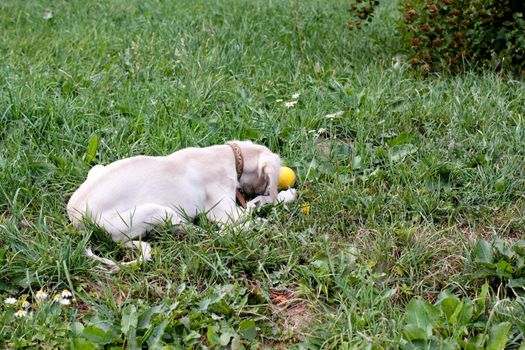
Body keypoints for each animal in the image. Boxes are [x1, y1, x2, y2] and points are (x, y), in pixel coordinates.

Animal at [66, 140, 294, 270]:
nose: (266, 188)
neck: (225, 155)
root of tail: (77, 220)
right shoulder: (226, 213)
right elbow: (256, 205)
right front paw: (286, 195)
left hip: (98, 168)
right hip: (158, 212)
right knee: (205, 233)